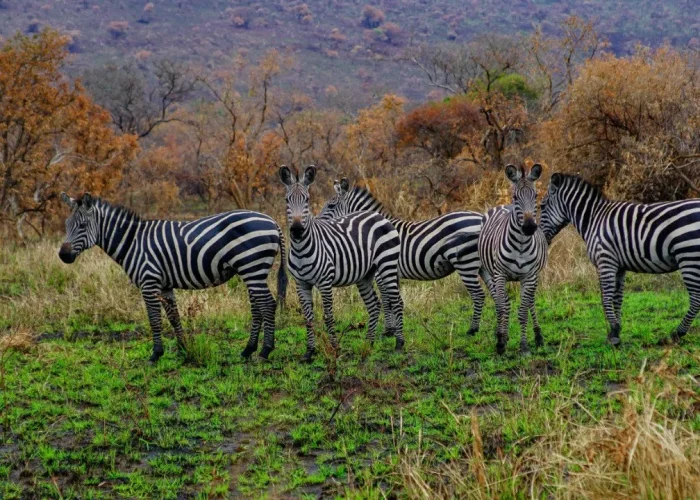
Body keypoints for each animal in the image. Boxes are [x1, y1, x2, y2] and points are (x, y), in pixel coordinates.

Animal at [58, 193, 288, 362]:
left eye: (82, 226)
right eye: (66, 224)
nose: (63, 255)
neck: (132, 242)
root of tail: (272, 221)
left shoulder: (149, 282)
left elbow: (154, 319)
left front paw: (155, 355)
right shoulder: (165, 285)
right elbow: (174, 316)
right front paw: (183, 349)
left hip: (252, 267)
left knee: (268, 304)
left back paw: (265, 351)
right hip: (251, 271)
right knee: (257, 307)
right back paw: (248, 350)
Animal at [278, 166, 404, 362]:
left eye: (307, 200)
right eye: (286, 200)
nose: (297, 230)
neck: (301, 250)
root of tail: (378, 216)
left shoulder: (325, 282)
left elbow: (329, 316)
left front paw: (335, 349)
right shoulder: (301, 284)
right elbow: (308, 318)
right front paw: (309, 352)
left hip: (387, 265)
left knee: (396, 300)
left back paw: (399, 343)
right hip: (365, 275)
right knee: (374, 305)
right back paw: (368, 343)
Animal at [320, 176, 484, 336]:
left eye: (331, 206)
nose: (316, 222)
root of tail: (480, 216)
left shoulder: (381, 273)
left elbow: (387, 300)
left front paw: (388, 331)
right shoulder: (392, 273)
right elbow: (394, 300)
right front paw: (394, 329)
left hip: (466, 263)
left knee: (478, 294)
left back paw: (472, 330)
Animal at [478, 165, 548, 356]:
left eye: (536, 196)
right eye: (516, 197)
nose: (530, 227)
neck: (521, 245)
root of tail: (503, 205)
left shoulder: (530, 276)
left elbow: (523, 311)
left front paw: (524, 347)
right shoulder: (500, 275)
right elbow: (502, 307)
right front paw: (501, 342)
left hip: (533, 277)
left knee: (530, 302)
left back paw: (538, 336)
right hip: (492, 273)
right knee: (502, 303)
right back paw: (501, 334)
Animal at [540, 174, 700, 346]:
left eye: (542, 206)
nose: (542, 239)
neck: (593, 219)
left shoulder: (606, 261)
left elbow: (606, 298)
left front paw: (614, 333)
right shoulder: (619, 267)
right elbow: (617, 298)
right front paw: (615, 330)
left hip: (688, 257)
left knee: (696, 299)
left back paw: (676, 334)